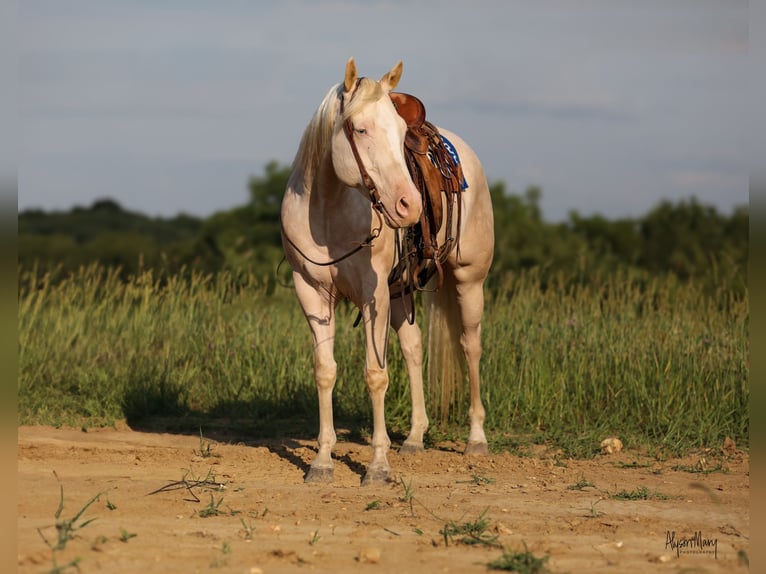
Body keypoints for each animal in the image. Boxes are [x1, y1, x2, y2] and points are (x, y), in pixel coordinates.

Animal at [282, 58, 498, 484]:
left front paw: (378, 467)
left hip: (469, 280)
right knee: (414, 348)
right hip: (401, 292)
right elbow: (325, 371)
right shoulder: (311, 291)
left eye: (400, 134)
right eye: (360, 128)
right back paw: (414, 437)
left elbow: (375, 374)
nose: (409, 205)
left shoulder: (374, 294)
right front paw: (322, 461)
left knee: (471, 346)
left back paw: (476, 439)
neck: (327, 211)